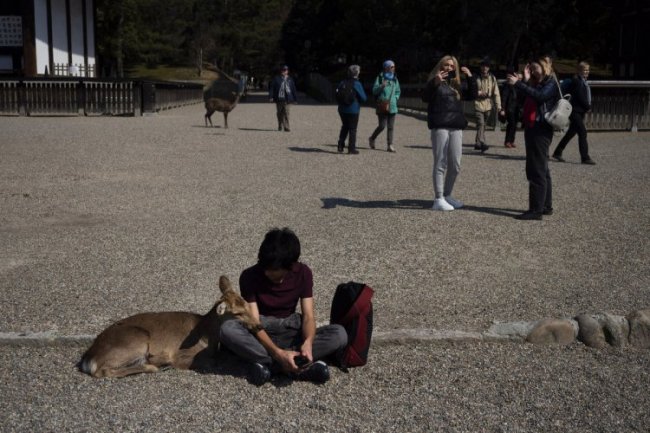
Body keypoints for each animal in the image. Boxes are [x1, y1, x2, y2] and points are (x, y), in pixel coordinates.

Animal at [81, 276, 260, 376]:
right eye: (237, 313)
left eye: (246, 304)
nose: (258, 326)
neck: (206, 336)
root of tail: (89, 358)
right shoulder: (180, 354)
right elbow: (206, 362)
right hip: (136, 340)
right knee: (102, 371)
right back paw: (154, 365)